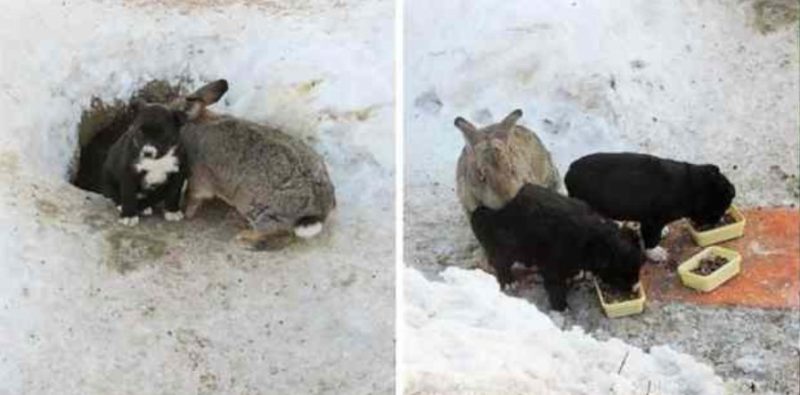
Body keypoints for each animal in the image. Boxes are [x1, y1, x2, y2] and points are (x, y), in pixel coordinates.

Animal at [173, 80, 336, 251]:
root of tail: (317, 211)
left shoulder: (199, 178)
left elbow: (193, 196)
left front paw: (186, 213)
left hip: (258, 209)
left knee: (278, 234)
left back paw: (243, 238)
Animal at [468, 183, 644, 312]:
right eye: (619, 276)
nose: (635, 290)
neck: (593, 240)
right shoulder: (552, 265)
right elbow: (555, 286)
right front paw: (561, 307)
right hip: (508, 246)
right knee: (499, 261)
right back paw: (509, 282)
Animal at [564, 153, 736, 262]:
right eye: (718, 209)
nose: (718, 221)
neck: (692, 187)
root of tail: (569, 172)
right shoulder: (652, 221)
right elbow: (651, 238)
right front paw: (656, 253)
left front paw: (663, 231)